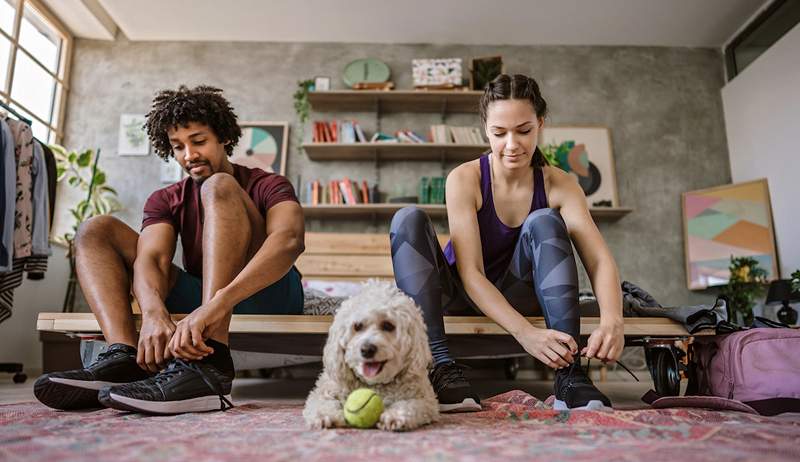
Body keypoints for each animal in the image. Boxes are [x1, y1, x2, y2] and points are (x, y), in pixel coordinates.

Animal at [302, 280, 438, 432]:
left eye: (388, 325)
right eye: (357, 326)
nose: (367, 350)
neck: (374, 383)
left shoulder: (425, 401)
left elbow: (410, 405)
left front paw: (395, 416)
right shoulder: (324, 391)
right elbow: (323, 403)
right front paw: (324, 416)